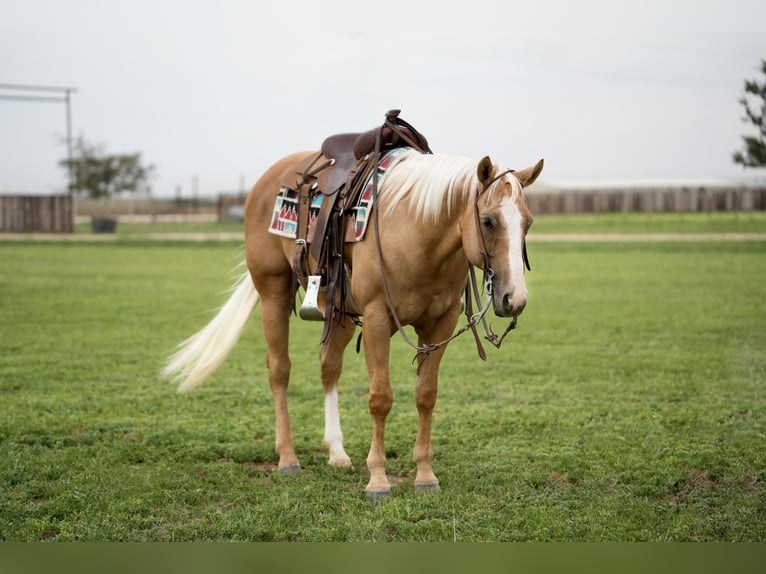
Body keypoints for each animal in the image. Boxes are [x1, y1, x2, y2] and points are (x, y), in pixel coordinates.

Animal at [165, 146, 544, 498]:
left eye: (527, 222)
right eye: (489, 221)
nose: (515, 299)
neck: (416, 231)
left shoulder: (440, 323)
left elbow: (426, 395)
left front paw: (425, 476)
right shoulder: (377, 319)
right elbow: (380, 398)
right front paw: (377, 481)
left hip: (340, 314)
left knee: (328, 366)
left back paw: (337, 452)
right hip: (272, 291)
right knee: (279, 370)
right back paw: (288, 458)